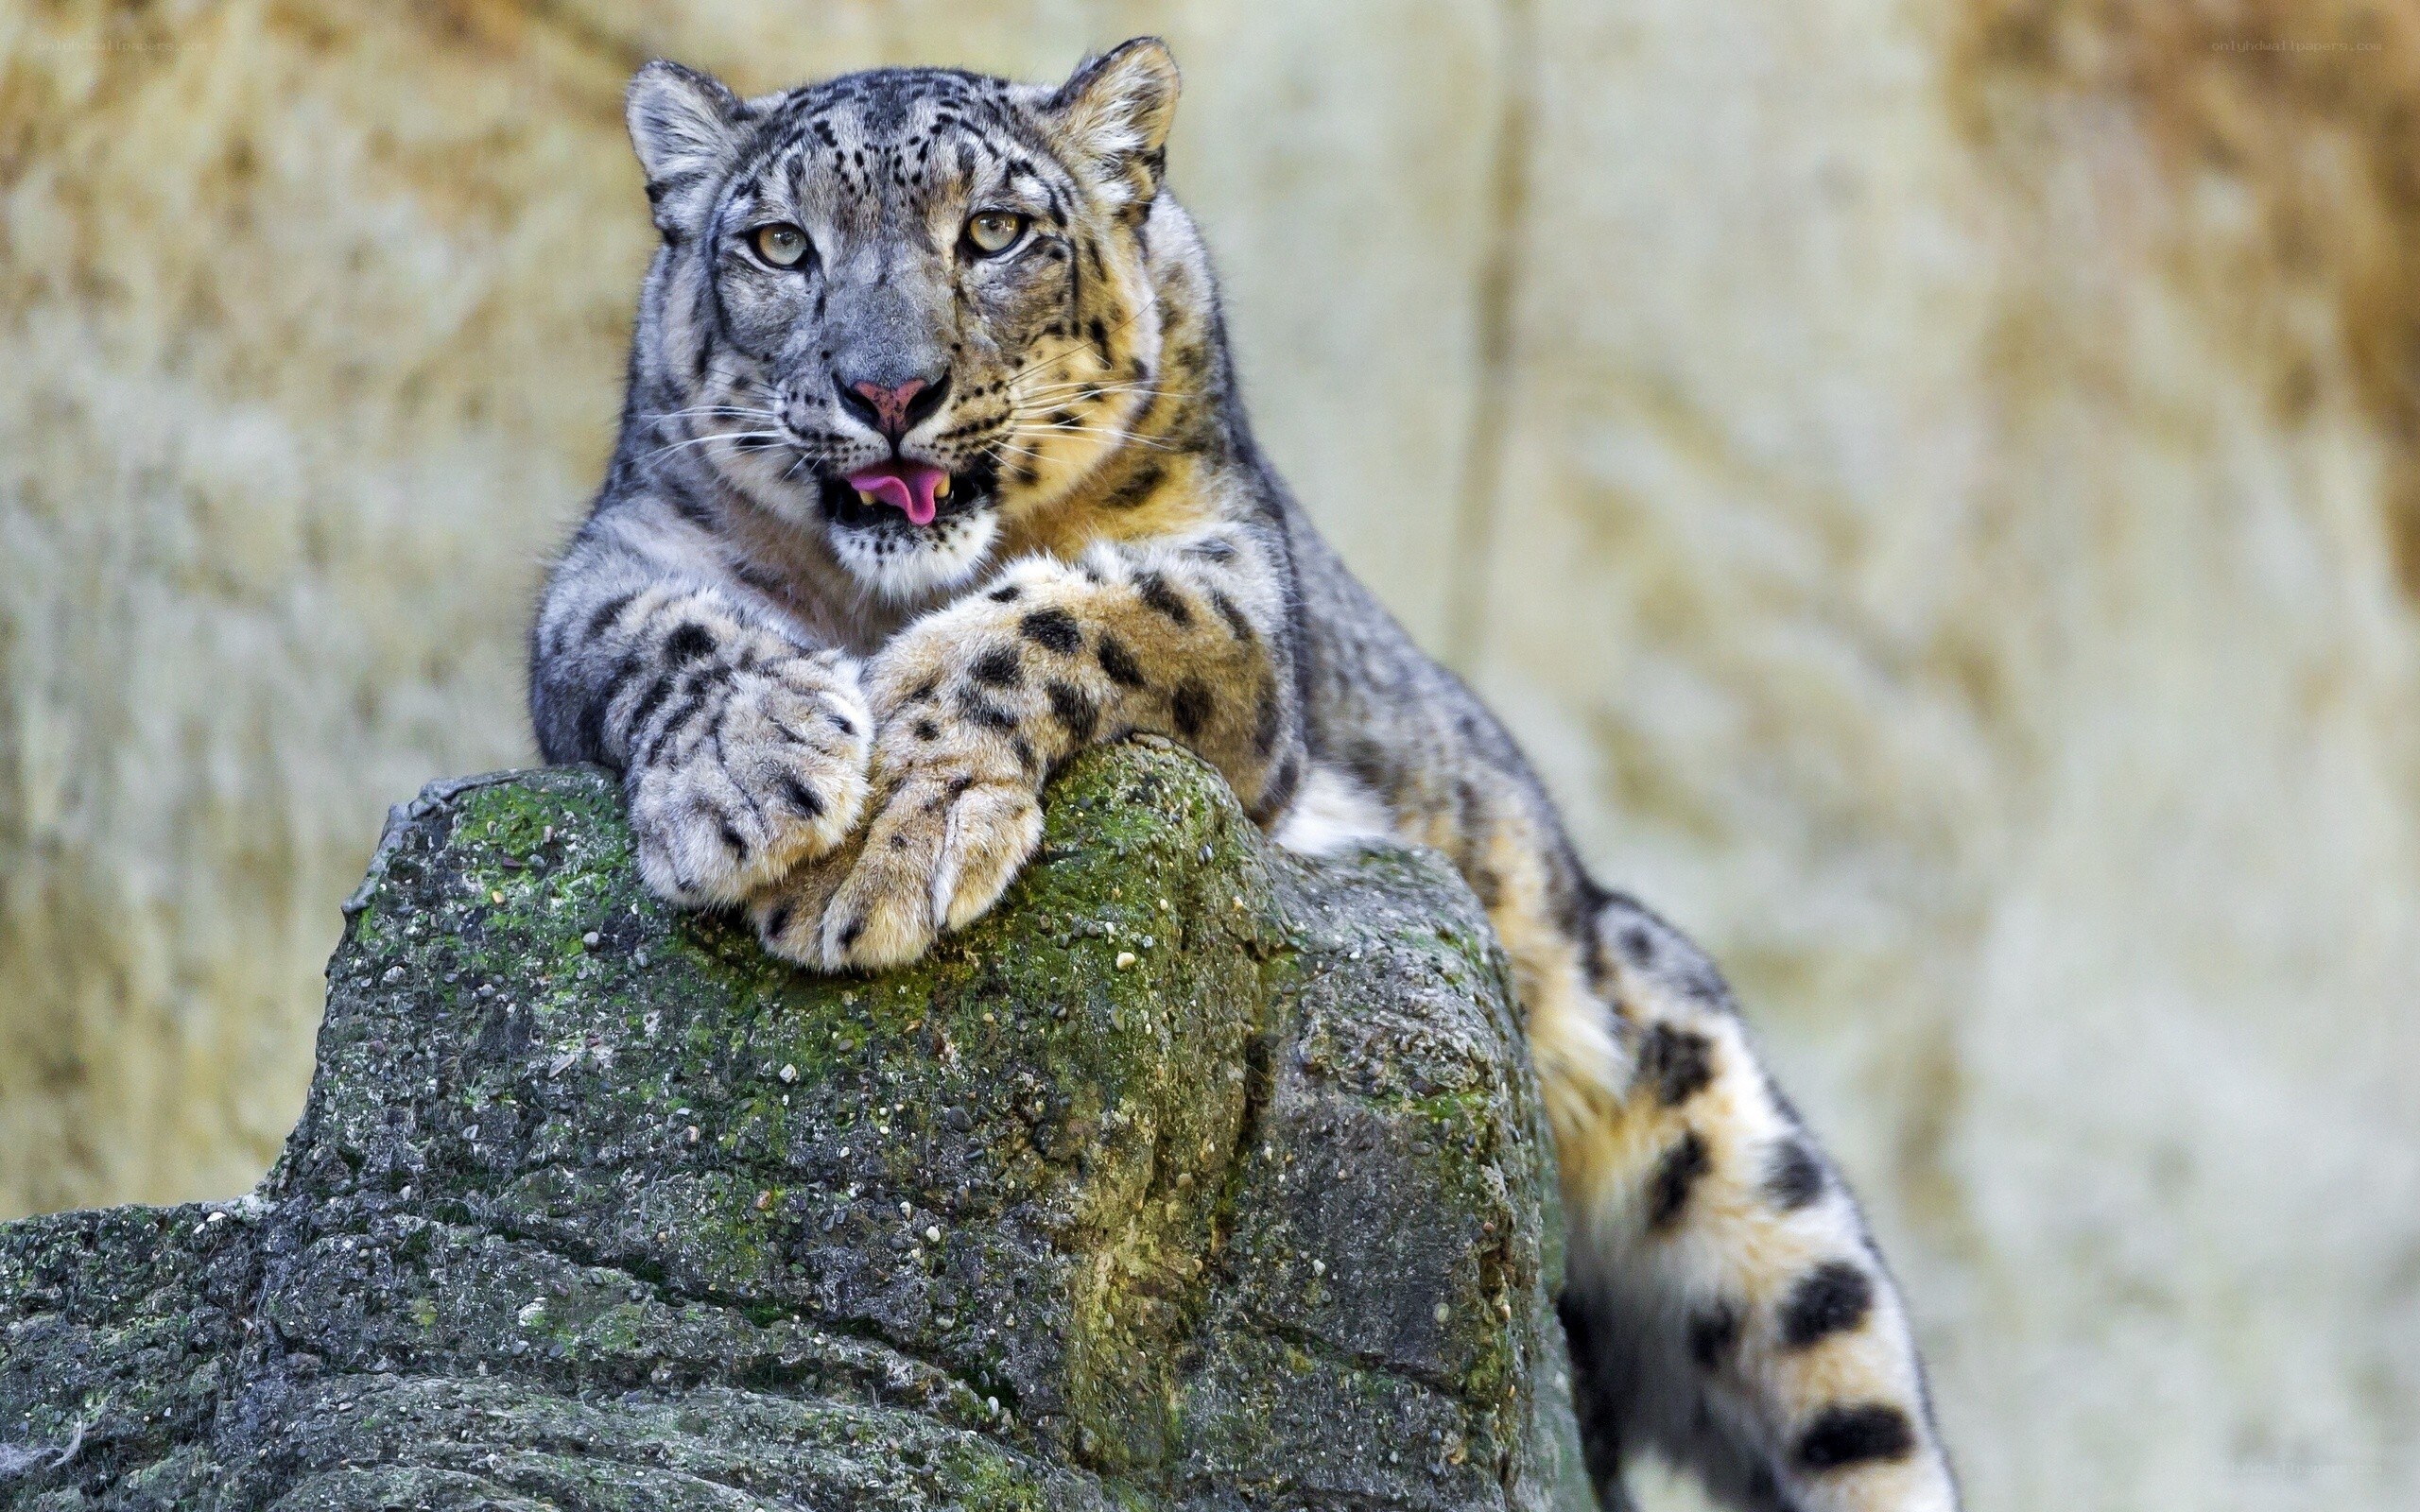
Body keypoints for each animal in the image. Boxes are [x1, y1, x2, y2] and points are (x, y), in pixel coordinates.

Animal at [528, 39, 1960, 1512]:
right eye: (779, 243)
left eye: (995, 231)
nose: (888, 392)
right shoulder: (618, 553)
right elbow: (652, 630)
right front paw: (756, 779)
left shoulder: (1235, 591)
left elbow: (1080, 613)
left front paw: (890, 834)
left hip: (1745, 1170)